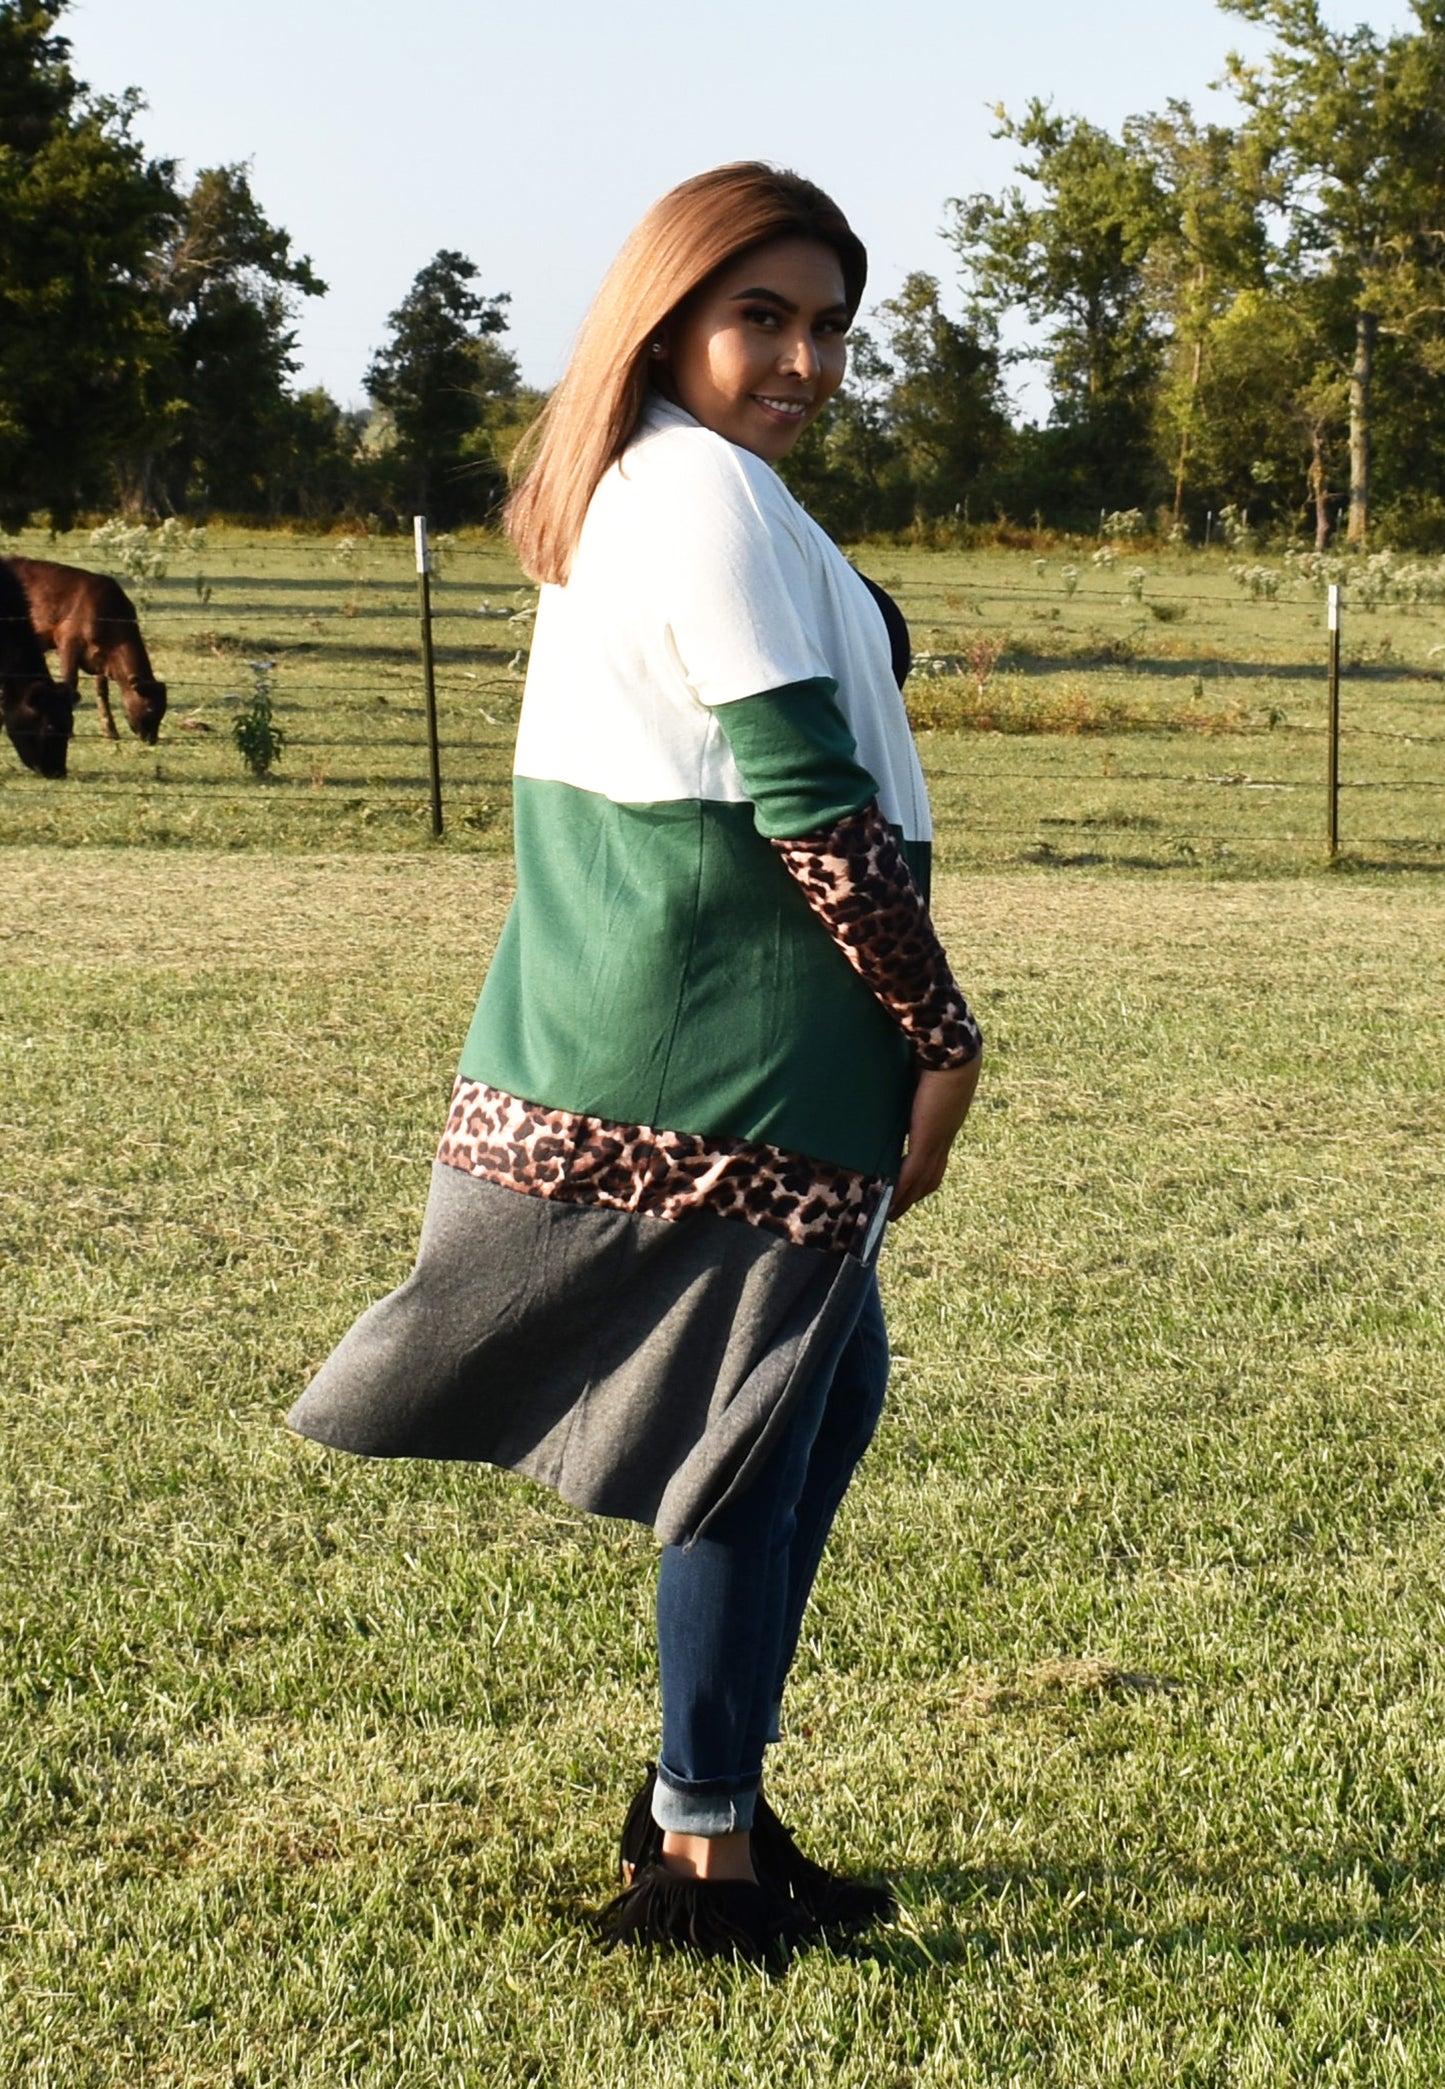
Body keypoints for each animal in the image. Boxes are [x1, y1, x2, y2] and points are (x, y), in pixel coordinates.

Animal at [9, 559, 169, 747]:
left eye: (163, 709)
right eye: (150, 707)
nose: (152, 739)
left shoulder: (102, 658)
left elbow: (102, 692)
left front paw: (111, 732)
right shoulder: (69, 641)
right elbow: (70, 682)